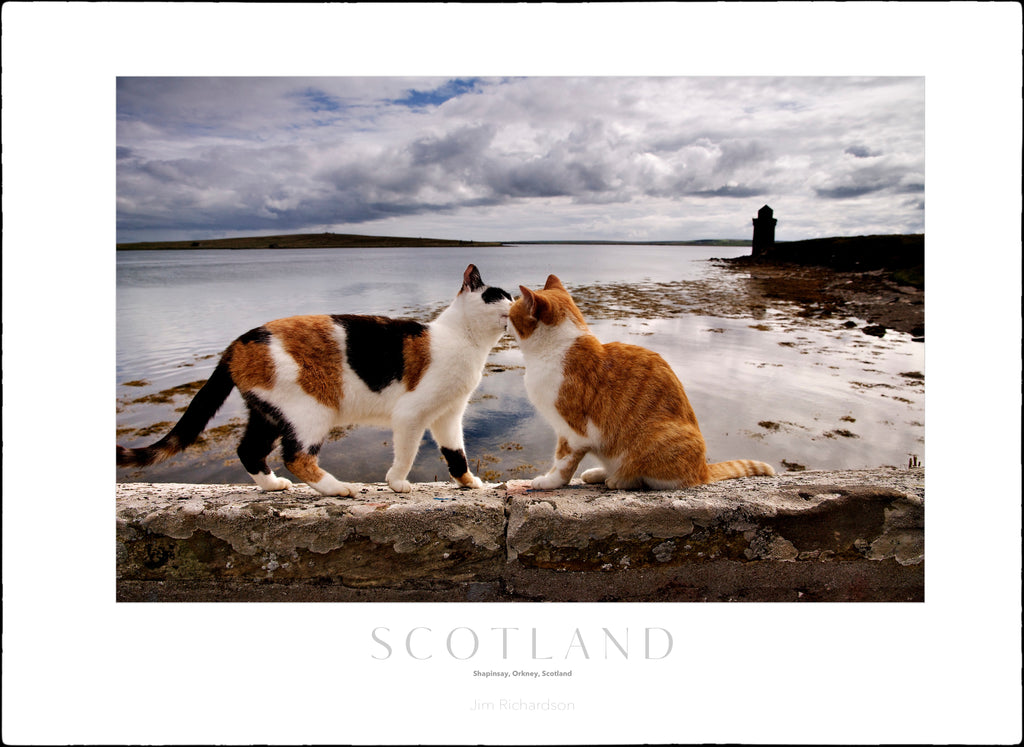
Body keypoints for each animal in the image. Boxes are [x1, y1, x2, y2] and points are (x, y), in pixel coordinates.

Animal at [116, 264, 512, 495]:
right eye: (500, 295)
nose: (516, 301)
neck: (464, 340)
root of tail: (237, 343)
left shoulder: (448, 415)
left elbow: (456, 453)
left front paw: (470, 483)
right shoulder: (411, 415)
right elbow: (407, 453)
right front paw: (398, 483)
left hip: (268, 413)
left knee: (248, 450)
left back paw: (274, 485)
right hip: (311, 411)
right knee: (296, 457)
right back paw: (339, 489)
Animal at [507, 274, 770, 489]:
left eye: (510, 316)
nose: (504, 323)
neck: (556, 349)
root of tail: (703, 470)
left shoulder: (573, 433)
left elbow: (562, 463)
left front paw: (548, 482)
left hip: (655, 439)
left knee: (646, 478)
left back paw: (618, 479)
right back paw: (598, 473)